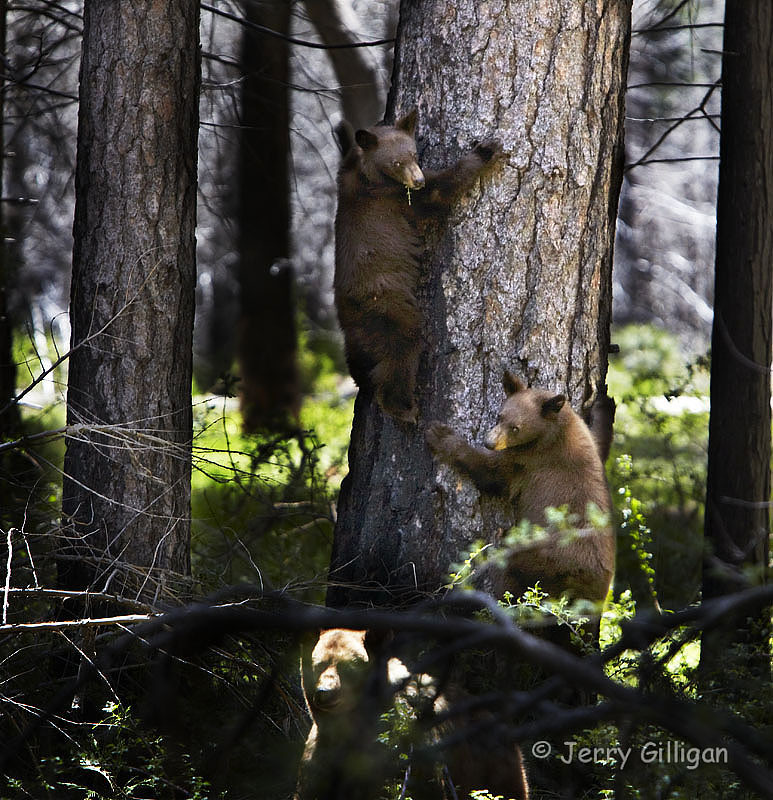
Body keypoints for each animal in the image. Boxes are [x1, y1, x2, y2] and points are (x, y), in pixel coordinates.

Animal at [334, 109, 501, 422]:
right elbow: (439, 192)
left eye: (414, 154)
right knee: (402, 350)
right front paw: (485, 150)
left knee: (359, 362)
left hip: (356, 332)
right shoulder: (396, 197)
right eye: (397, 163)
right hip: (387, 308)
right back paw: (405, 408)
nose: (418, 180)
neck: (366, 174)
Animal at [426, 371, 615, 607]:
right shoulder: (586, 440)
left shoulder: (529, 460)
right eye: (499, 417)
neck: (557, 428)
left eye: (515, 428)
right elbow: (600, 438)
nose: (489, 442)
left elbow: (491, 472)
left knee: (512, 579)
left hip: (541, 561)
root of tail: (590, 594)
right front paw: (604, 401)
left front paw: (441, 436)